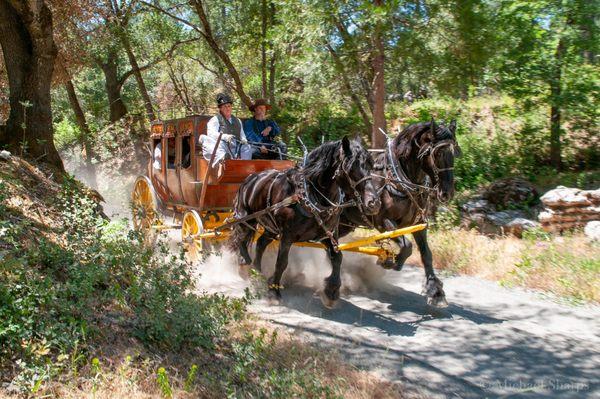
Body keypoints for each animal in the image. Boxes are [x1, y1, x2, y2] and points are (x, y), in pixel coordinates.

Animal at [227, 136, 382, 304]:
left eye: (371, 165)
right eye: (350, 167)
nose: (374, 203)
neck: (311, 196)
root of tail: (250, 178)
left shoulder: (328, 234)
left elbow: (337, 257)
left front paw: (331, 291)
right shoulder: (287, 236)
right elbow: (282, 263)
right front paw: (274, 291)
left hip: (270, 227)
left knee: (261, 243)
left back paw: (257, 272)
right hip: (245, 219)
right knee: (240, 239)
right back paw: (245, 265)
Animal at [340, 120, 462, 308]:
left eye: (454, 151)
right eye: (438, 153)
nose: (447, 192)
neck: (397, 180)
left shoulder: (418, 224)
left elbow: (426, 254)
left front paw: (435, 291)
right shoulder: (383, 222)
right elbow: (406, 245)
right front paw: (390, 261)